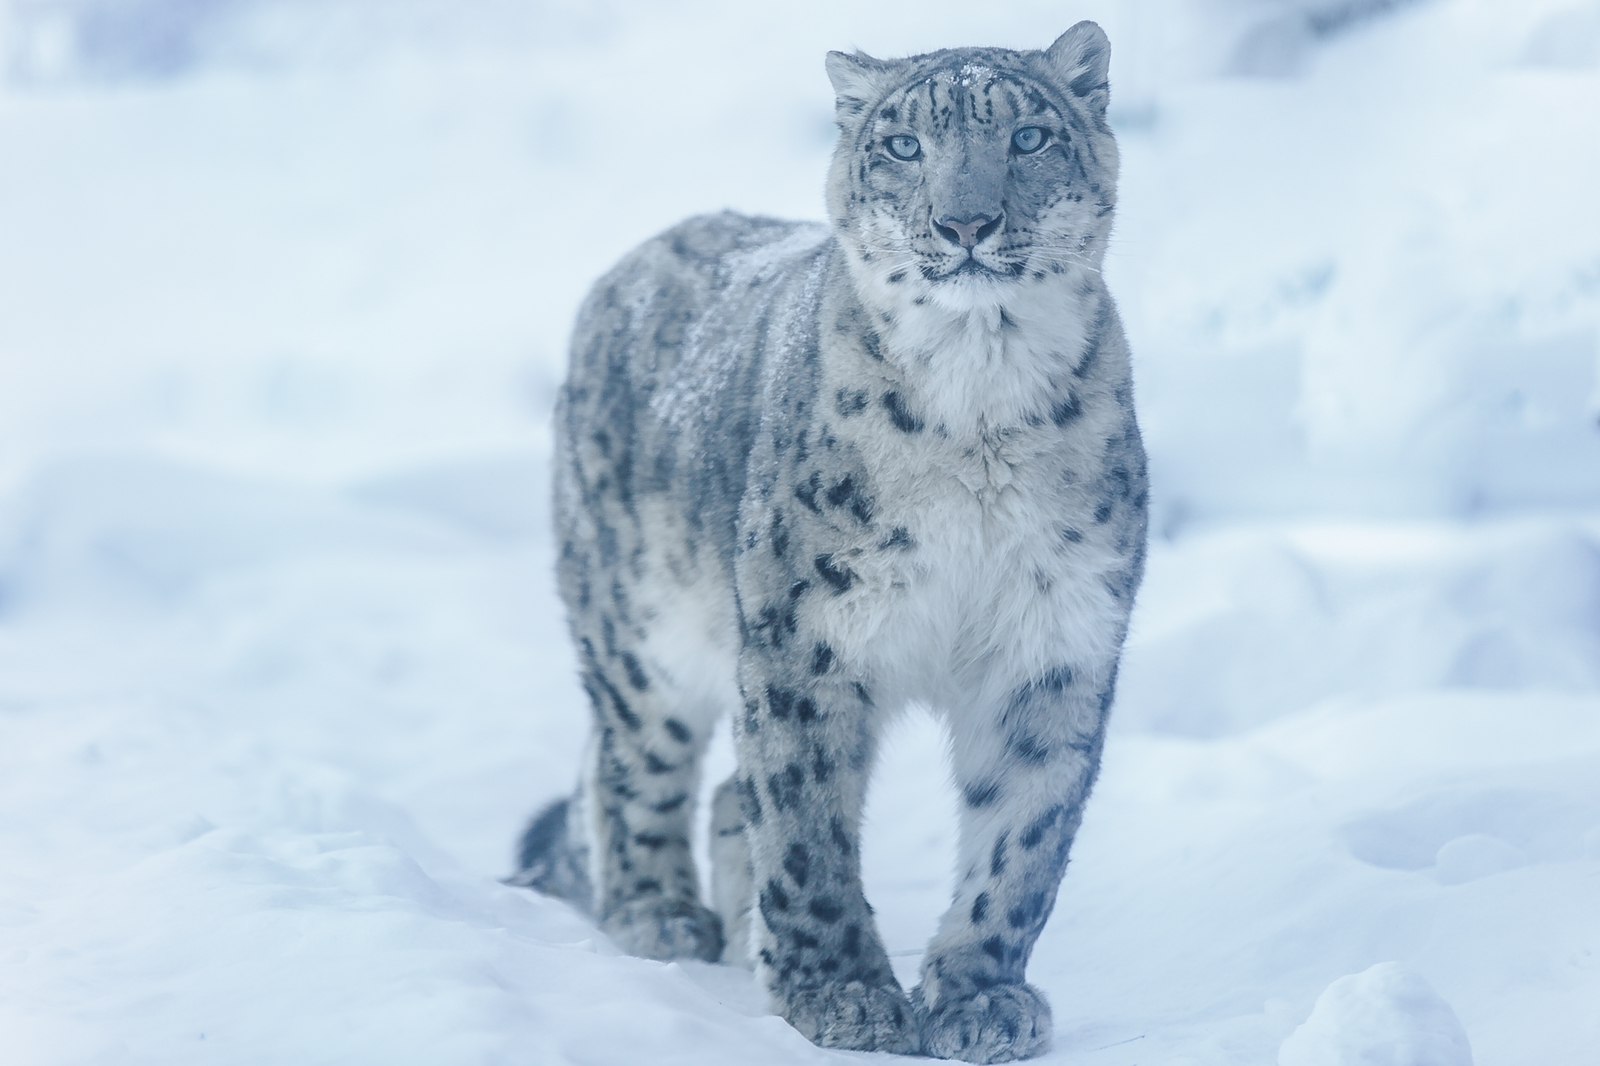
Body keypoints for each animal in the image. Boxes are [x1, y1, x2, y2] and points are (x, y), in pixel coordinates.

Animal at [512, 20, 1152, 1056]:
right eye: (903, 145)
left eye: (1027, 138)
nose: (964, 224)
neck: (983, 405)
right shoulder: (803, 638)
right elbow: (805, 822)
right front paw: (842, 994)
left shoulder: (1054, 641)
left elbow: (1023, 837)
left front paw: (981, 999)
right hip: (637, 633)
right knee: (635, 761)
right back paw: (659, 913)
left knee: (723, 791)